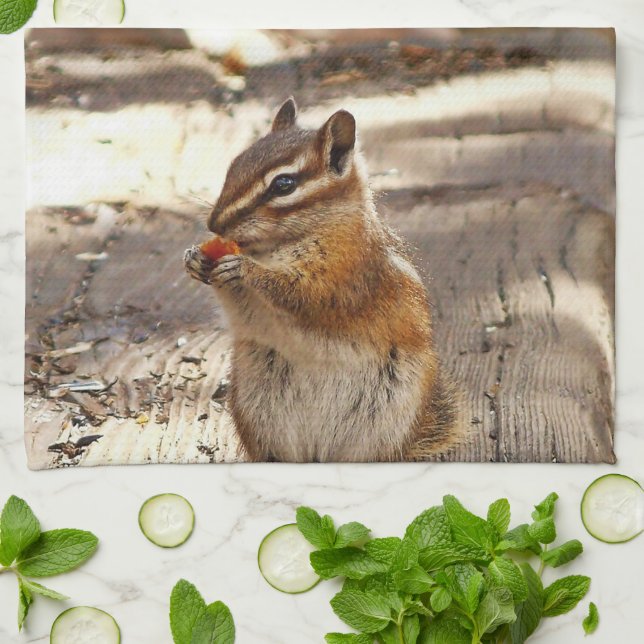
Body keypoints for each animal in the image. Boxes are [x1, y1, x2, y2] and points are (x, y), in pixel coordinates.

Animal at [184, 97, 459, 462]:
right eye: (234, 165)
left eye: (283, 184)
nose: (214, 224)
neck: (278, 247)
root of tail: (320, 450)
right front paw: (196, 259)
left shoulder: (344, 274)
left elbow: (304, 293)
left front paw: (244, 268)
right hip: (257, 406)